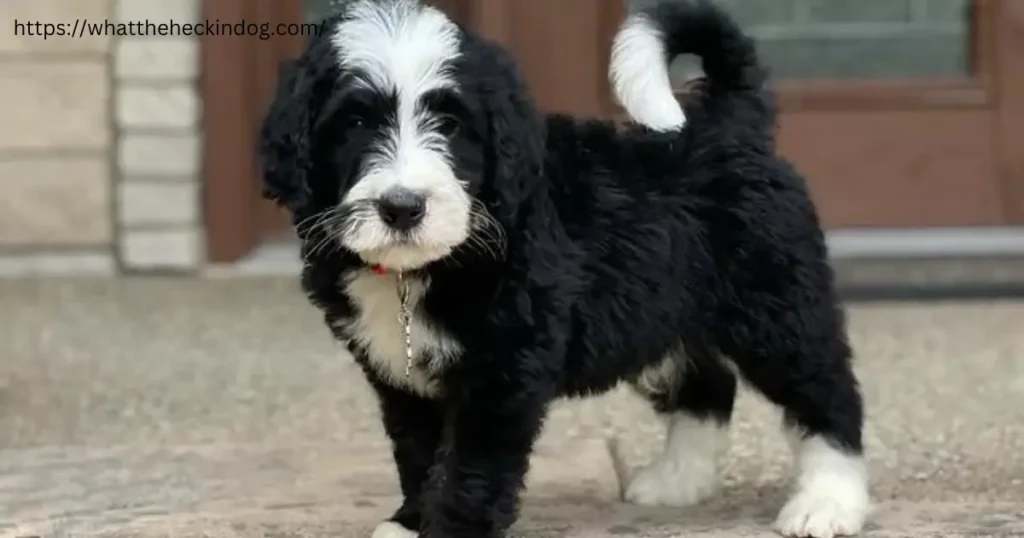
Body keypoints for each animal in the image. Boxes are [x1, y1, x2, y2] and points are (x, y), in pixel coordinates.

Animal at [260, 1, 868, 536]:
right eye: (355, 123)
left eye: (451, 126)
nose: (403, 207)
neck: (427, 269)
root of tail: (727, 125)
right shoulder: (401, 376)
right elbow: (420, 455)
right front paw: (411, 523)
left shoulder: (500, 374)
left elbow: (468, 468)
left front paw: (450, 529)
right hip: (660, 311)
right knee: (707, 386)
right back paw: (678, 480)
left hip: (777, 306)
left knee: (827, 394)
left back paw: (828, 502)